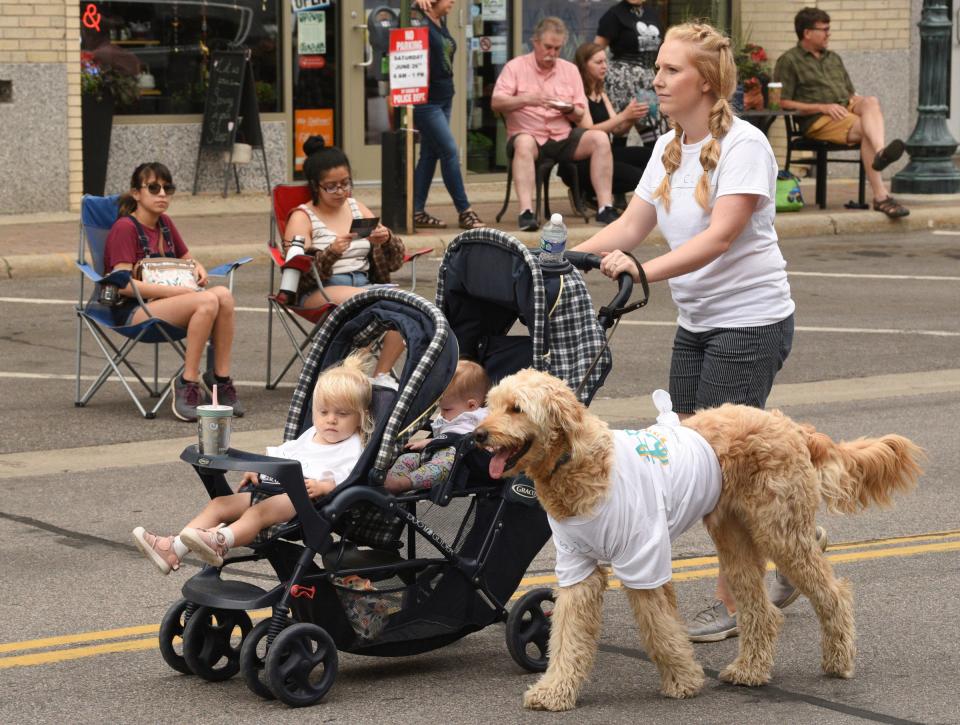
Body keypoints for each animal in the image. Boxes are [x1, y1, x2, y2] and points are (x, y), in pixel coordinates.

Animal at [476, 370, 928, 708]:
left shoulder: (644, 560)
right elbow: (566, 634)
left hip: (779, 533)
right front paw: (554, 693)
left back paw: (837, 661)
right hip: (735, 539)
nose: (477, 435)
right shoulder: (577, 568)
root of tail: (791, 425)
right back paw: (750, 671)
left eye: (516, 408)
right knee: (762, 611)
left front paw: (683, 680)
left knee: (833, 594)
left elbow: (660, 629)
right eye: (491, 404)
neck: (580, 464)